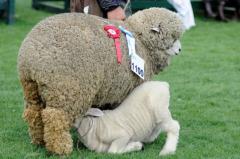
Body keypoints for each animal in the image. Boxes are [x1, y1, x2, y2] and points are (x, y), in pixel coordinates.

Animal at [18, 7, 184, 155]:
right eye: (173, 36)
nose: (180, 50)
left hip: (32, 88)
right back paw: (60, 149)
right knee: (55, 118)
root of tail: (31, 57)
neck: (139, 39)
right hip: (67, 88)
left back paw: (39, 141)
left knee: (34, 113)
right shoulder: (126, 89)